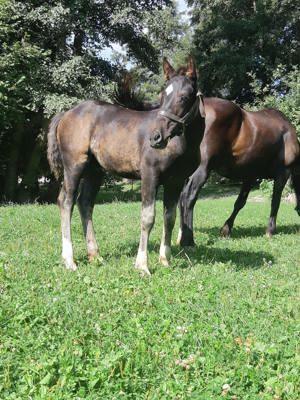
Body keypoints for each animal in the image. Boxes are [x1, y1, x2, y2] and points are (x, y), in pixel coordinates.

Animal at [47, 57, 205, 276]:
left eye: (184, 96)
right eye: (162, 95)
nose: (156, 137)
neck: (182, 143)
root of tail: (66, 113)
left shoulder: (176, 181)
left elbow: (170, 218)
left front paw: (165, 260)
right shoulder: (150, 175)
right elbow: (148, 218)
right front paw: (142, 265)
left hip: (94, 171)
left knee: (84, 203)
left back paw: (95, 255)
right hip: (74, 166)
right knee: (66, 201)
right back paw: (69, 260)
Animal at [116, 79, 300, 244]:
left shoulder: (250, 176)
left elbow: (240, 202)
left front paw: (226, 229)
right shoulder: (282, 173)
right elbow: (275, 201)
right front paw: (270, 230)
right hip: (202, 169)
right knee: (188, 197)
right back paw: (187, 239)